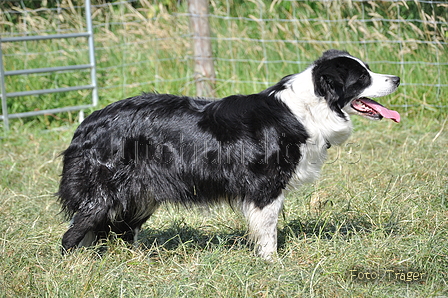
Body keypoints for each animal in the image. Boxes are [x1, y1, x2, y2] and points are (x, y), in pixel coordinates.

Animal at [57, 49, 400, 258]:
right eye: (362, 77)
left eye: (369, 71)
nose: (397, 78)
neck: (309, 106)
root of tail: (88, 122)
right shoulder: (265, 184)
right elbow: (267, 229)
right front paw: (272, 263)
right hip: (106, 193)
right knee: (74, 233)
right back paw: (73, 264)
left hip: (140, 194)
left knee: (121, 230)